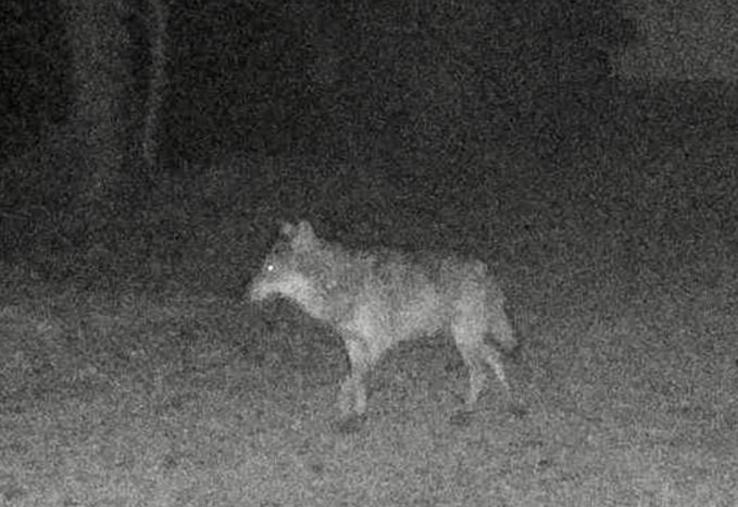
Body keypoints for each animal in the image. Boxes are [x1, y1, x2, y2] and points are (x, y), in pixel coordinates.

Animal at [250, 220, 518, 427]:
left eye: (269, 268)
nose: (246, 293)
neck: (334, 282)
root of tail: (484, 269)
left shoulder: (377, 344)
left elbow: (352, 381)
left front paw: (346, 412)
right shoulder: (352, 343)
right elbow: (356, 380)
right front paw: (357, 413)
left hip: (465, 339)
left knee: (480, 371)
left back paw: (467, 409)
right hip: (469, 338)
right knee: (495, 358)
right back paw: (511, 400)